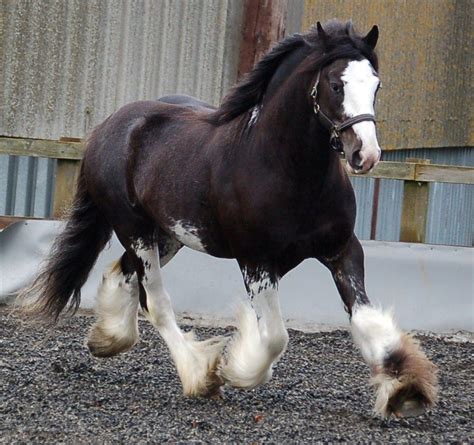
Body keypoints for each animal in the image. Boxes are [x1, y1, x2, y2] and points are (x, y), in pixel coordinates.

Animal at [21, 20, 436, 416]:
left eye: (376, 85)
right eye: (336, 85)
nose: (365, 155)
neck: (287, 169)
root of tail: (110, 126)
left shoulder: (342, 250)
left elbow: (364, 318)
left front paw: (405, 393)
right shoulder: (256, 260)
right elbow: (274, 336)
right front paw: (234, 369)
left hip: (166, 236)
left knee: (123, 275)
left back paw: (107, 340)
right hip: (135, 230)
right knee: (155, 301)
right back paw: (198, 374)